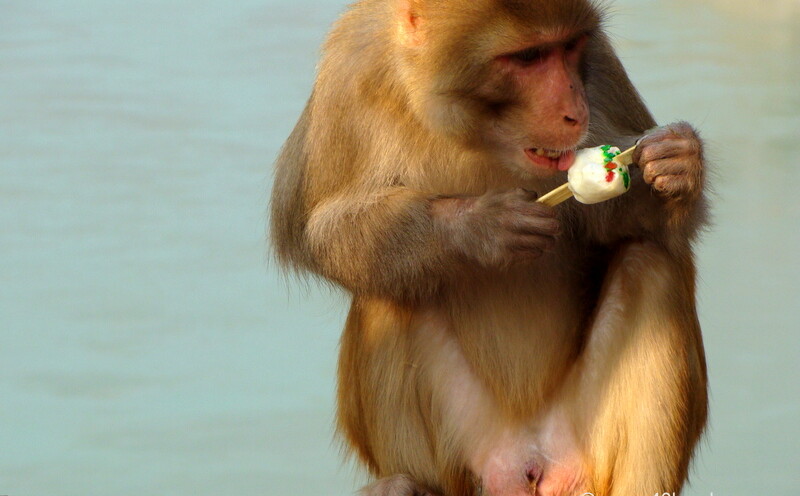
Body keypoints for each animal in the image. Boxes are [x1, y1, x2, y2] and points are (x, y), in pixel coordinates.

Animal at [270, 0, 709, 495]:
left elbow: (622, 222)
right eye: (528, 57)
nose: (574, 111)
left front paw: (677, 164)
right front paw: (479, 228)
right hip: (467, 449)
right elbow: (314, 228)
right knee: (388, 288)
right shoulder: (348, 70)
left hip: (579, 443)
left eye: (568, 47)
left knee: (649, 263)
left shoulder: (599, 66)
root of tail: (527, 460)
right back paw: (406, 484)